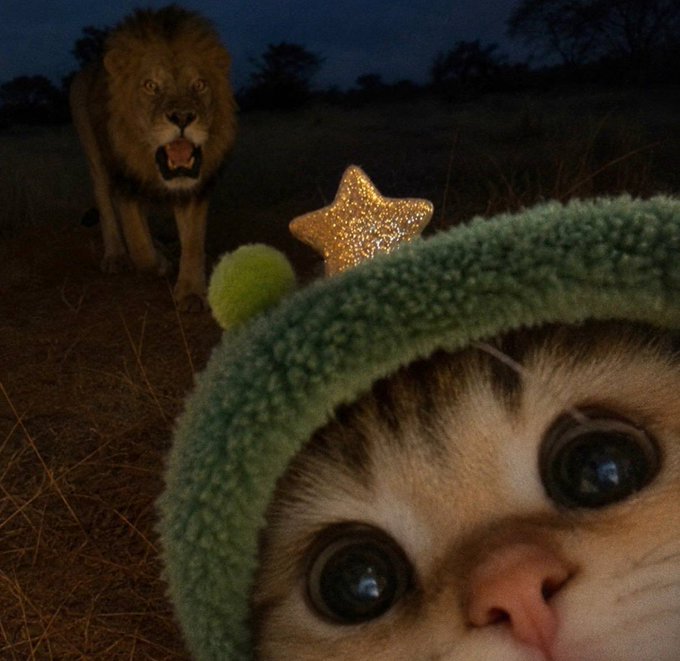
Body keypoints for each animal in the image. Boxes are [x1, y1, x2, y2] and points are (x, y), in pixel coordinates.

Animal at [70, 6, 237, 311]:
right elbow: (139, 244)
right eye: (150, 85)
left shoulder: (195, 185)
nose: (182, 117)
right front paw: (159, 263)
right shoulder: (125, 178)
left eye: (199, 84)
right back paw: (116, 256)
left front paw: (191, 292)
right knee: (106, 206)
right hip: (95, 159)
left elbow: (193, 240)